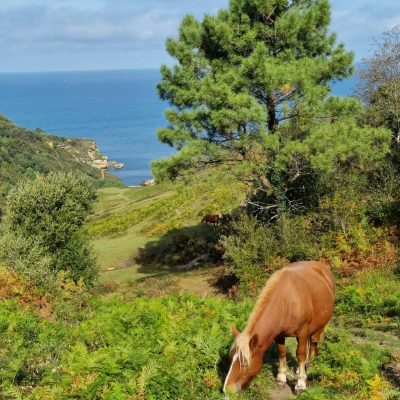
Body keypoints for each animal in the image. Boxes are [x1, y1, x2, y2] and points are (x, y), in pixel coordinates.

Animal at [223, 260, 336, 394]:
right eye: (231, 359)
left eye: (244, 364)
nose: (226, 389)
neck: (287, 301)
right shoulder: (279, 335)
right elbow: (281, 353)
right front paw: (281, 378)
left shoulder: (303, 333)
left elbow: (300, 355)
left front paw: (300, 384)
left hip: (319, 327)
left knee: (313, 344)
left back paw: (307, 366)